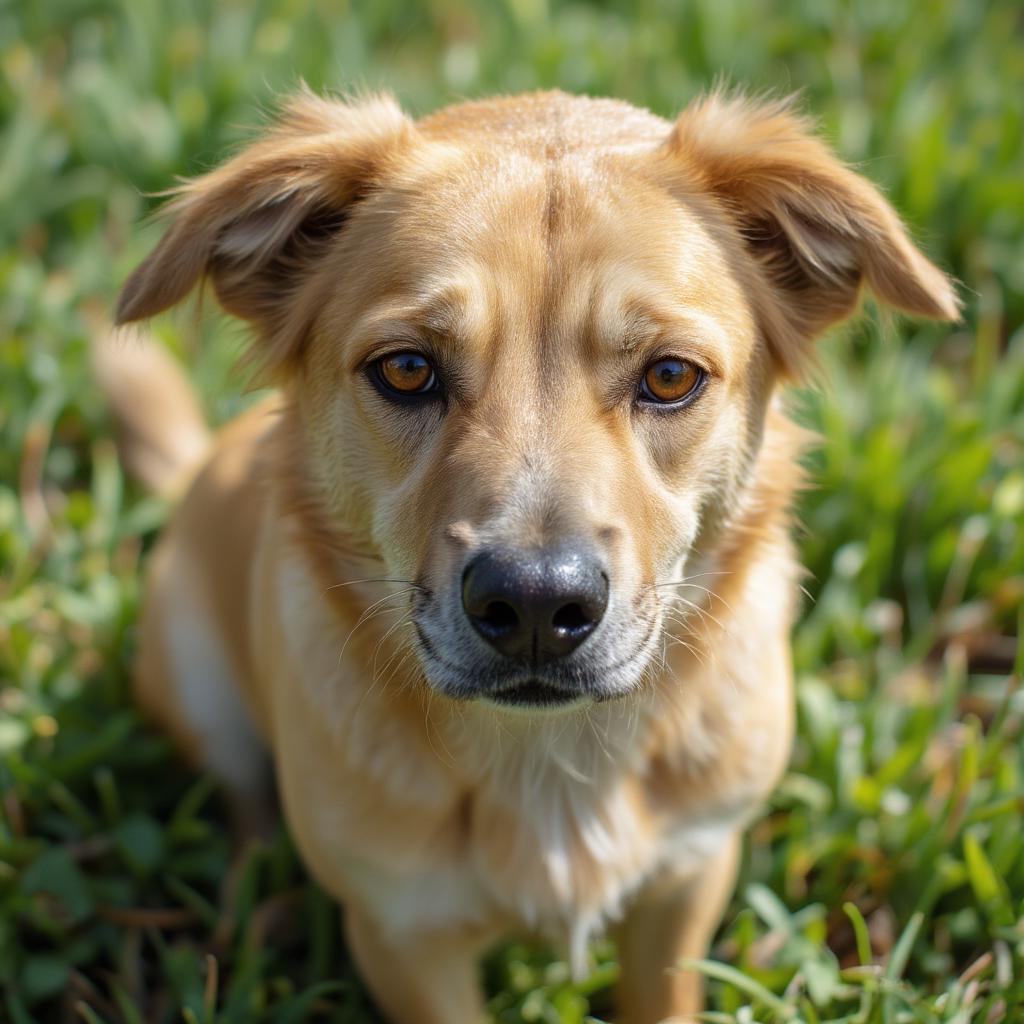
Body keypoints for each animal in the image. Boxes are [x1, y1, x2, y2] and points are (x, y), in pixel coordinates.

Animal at [99, 90, 954, 1024]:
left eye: (670, 377)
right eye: (406, 368)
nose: (539, 605)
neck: (549, 763)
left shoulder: (689, 876)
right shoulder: (403, 934)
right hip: (196, 684)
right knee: (245, 800)